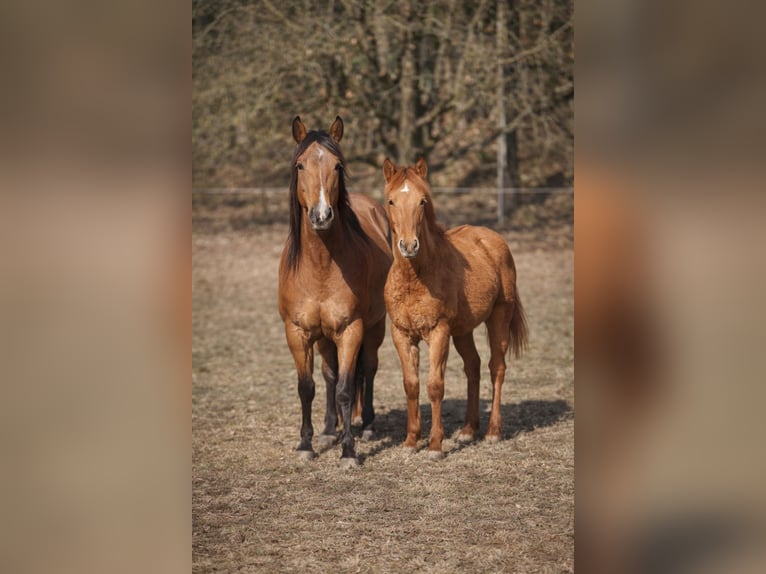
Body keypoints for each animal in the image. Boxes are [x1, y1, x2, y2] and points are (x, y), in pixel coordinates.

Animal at [277, 116, 392, 468]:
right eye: (300, 165)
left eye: (338, 165)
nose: (322, 215)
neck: (320, 266)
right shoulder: (298, 332)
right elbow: (308, 387)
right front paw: (306, 444)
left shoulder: (350, 330)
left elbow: (345, 387)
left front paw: (349, 450)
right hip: (324, 337)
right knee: (329, 374)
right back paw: (330, 429)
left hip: (374, 327)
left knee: (367, 369)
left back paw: (366, 426)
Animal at [382, 157, 528, 459]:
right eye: (391, 201)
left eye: (422, 201)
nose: (409, 245)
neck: (415, 278)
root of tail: (493, 239)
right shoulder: (401, 334)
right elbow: (411, 385)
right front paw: (411, 442)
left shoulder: (438, 333)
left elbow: (435, 386)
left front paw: (435, 446)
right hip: (462, 331)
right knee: (473, 367)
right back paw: (468, 430)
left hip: (499, 317)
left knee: (497, 368)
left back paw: (493, 432)